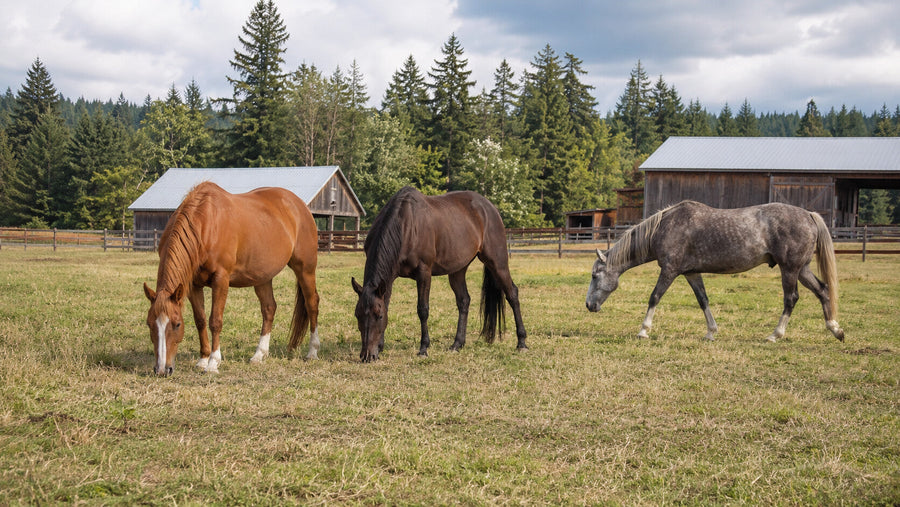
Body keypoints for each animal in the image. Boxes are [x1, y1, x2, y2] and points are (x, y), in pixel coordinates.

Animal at [142, 181, 320, 376]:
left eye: (177, 324)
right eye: (149, 324)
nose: (162, 369)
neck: (205, 225)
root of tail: (299, 205)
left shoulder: (221, 279)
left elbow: (215, 321)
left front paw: (213, 363)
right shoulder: (193, 285)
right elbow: (200, 320)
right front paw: (203, 360)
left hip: (305, 269)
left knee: (312, 303)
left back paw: (312, 351)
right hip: (262, 276)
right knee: (269, 308)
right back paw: (259, 355)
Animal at [351, 186, 527, 362]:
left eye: (379, 316)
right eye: (357, 315)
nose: (367, 355)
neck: (405, 225)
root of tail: (490, 208)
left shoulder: (424, 272)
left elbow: (423, 310)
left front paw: (423, 348)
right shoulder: (389, 278)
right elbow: (386, 303)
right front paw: (380, 347)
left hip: (497, 263)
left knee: (512, 294)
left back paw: (521, 342)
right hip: (458, 269)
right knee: (464, 301)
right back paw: (457, 344)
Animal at [585, 200, 845, 343]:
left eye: (595, 276)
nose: (589, 306)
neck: (665, 227)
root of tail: (809, 215)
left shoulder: (669, 270)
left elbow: (654, 297)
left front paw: (643, 330)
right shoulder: (691, 273)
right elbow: (703, 300)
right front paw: (711, 332)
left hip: (789, 269)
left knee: (791, 298)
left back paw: (775, 334)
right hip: (802, 269)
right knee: (823, 291)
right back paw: (835, 329)